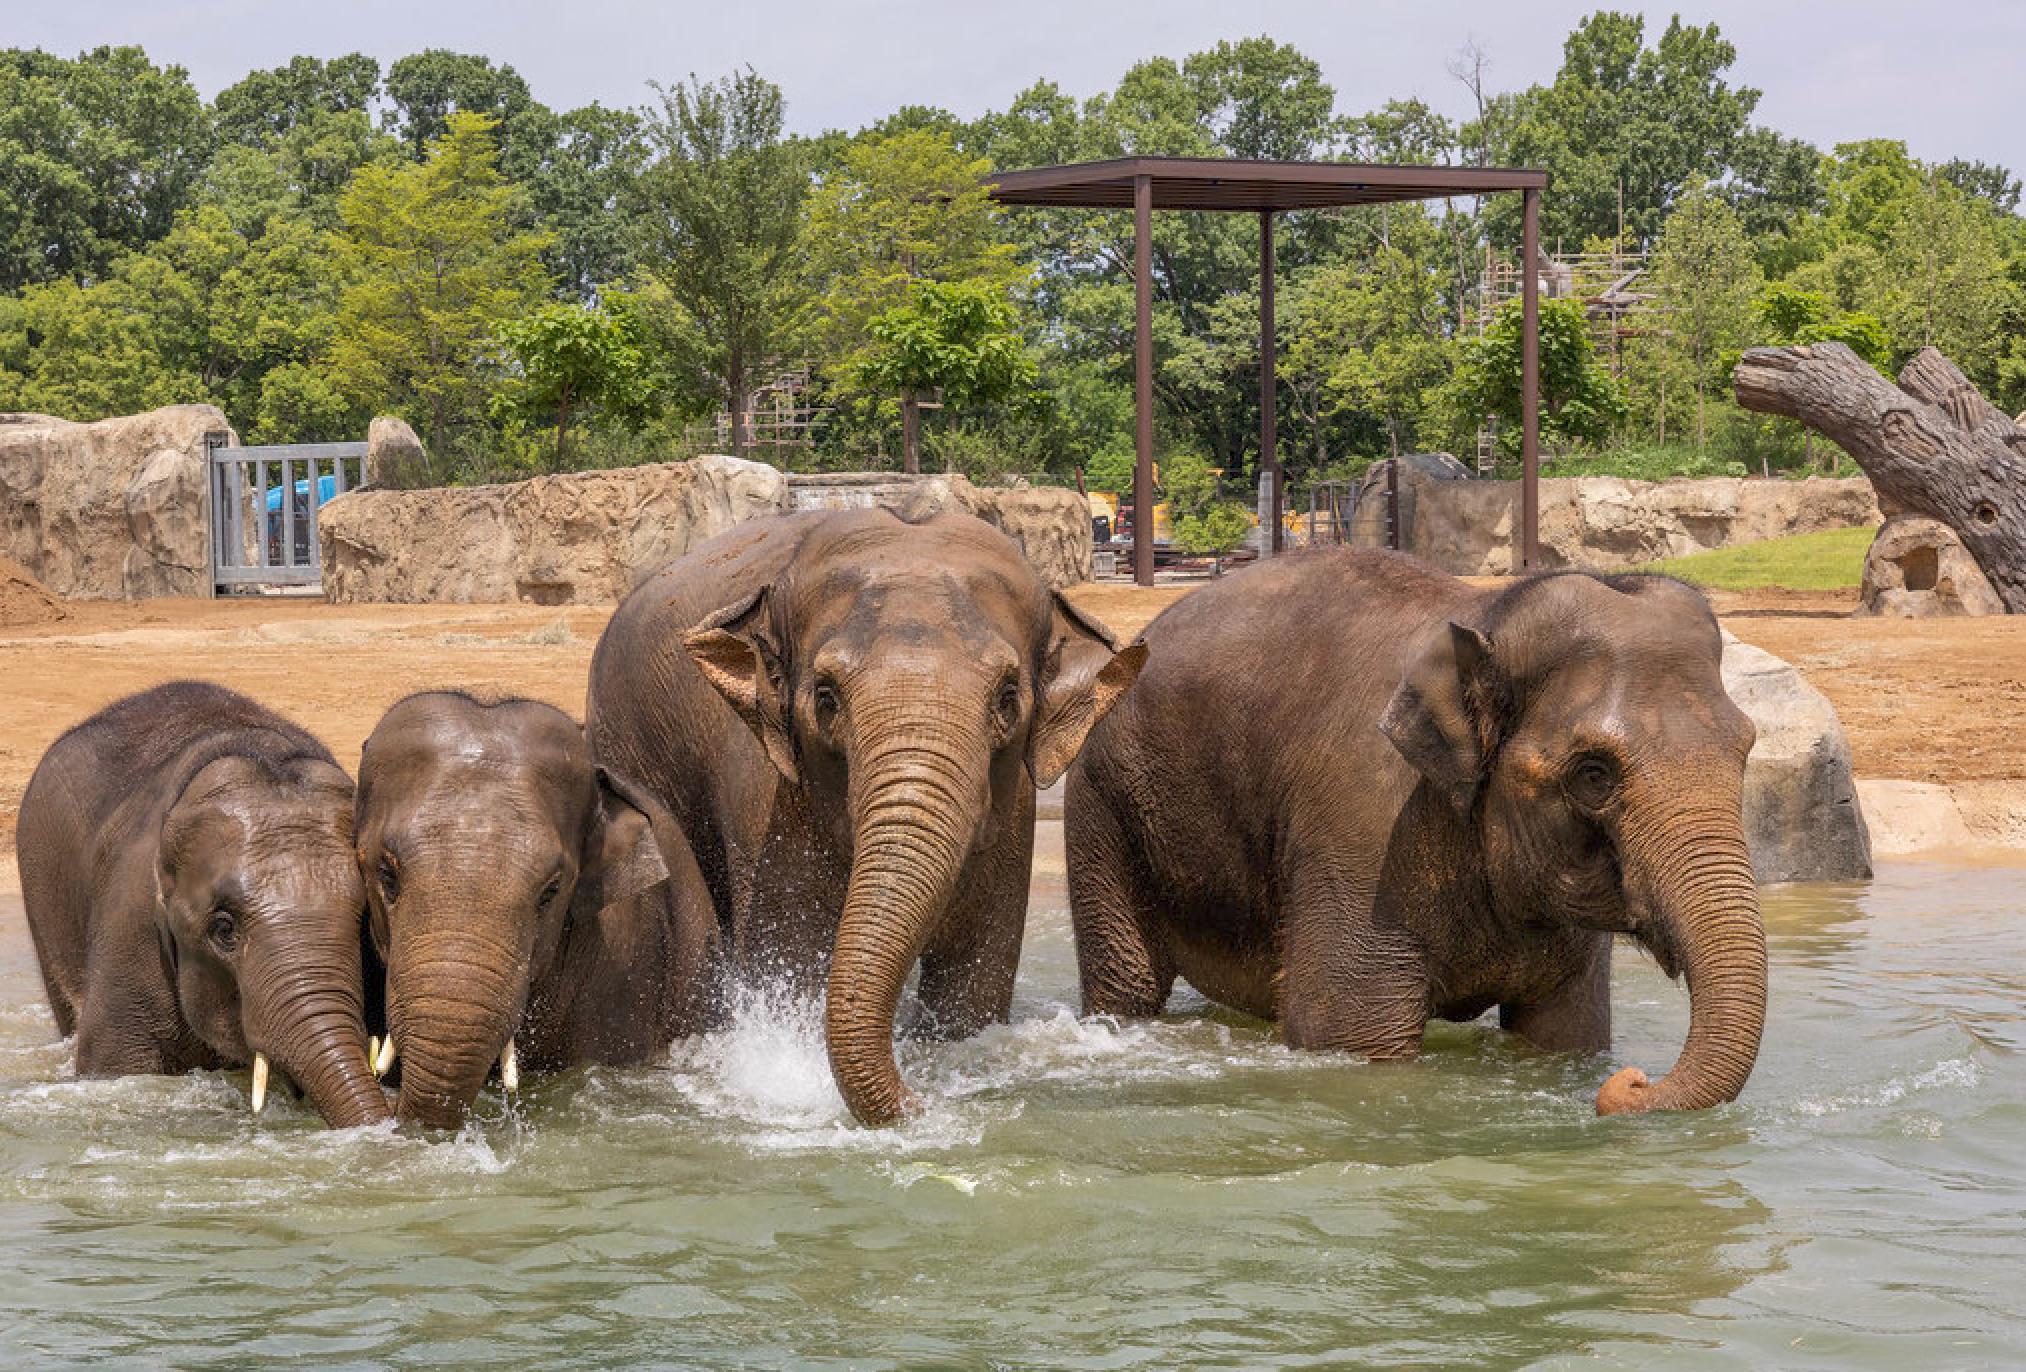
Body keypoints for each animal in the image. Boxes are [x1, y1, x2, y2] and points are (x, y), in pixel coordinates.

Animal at [586, 509, 1145, 1126]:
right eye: (826, 698)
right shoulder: (769, 797)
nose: (920, 1100)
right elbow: (795, 956)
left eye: (1007, 699)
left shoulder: (1013, 812)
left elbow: (975, 980)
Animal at [1066, 548, 1766, 1115]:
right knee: (1128, 982)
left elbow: (1564, 1031)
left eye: (1746, 748)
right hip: (1104, 804)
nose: (1632, 1080)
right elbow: (1350, 1034)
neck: (1488, 616)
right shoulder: (1361, 828)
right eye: (1593, 773)